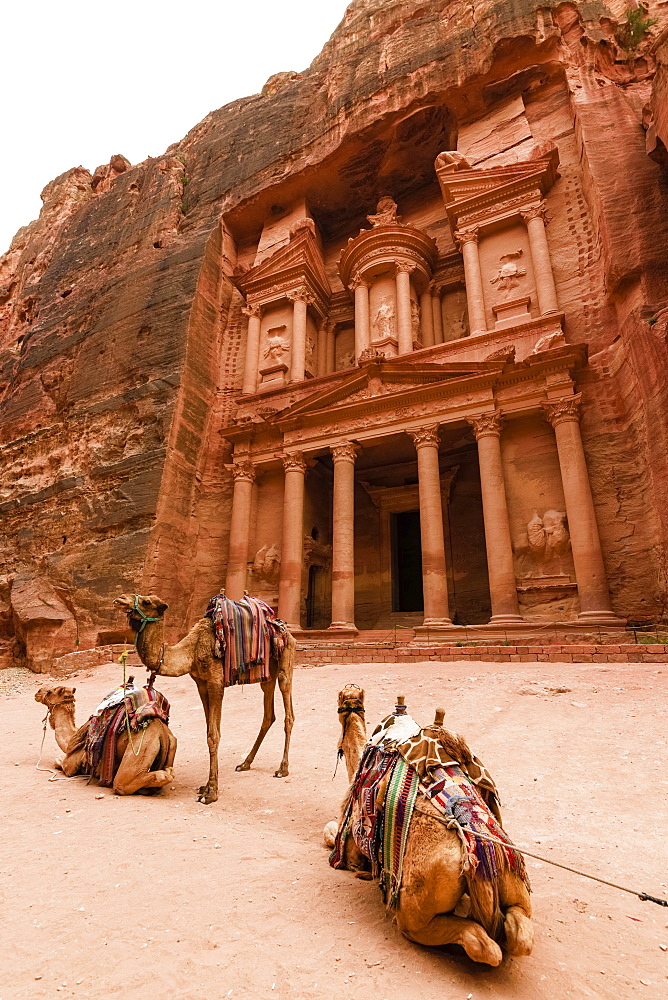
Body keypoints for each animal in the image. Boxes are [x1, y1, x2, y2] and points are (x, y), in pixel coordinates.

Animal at [35, 684, 176, 792]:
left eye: (49, 692)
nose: (37, 692)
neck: (71, 739)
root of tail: (162, 731)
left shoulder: (70, 765)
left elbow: (59, 762)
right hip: (172, 743)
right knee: (169, 772)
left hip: (140, 746)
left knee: (124, 782)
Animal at [113, 592, 296, 804]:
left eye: (147, 601)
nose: (119, 599)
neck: (191, 651)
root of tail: (284, 629)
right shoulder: (200, 683)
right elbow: (208, 731)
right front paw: (206, 787)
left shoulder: (216, 683)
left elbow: (214, 735)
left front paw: (211, 793)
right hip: (267, 673)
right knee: (268, 715)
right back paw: (245, 763)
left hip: (285, 662)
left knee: (288, 712)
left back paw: (282, 769)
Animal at [324, 684, 532, 964]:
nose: (350, 687)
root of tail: (475, 852)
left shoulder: (352, 845)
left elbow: (330, 833)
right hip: (512, 873)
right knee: (520, 934)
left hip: (416, 913)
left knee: (482, 945)